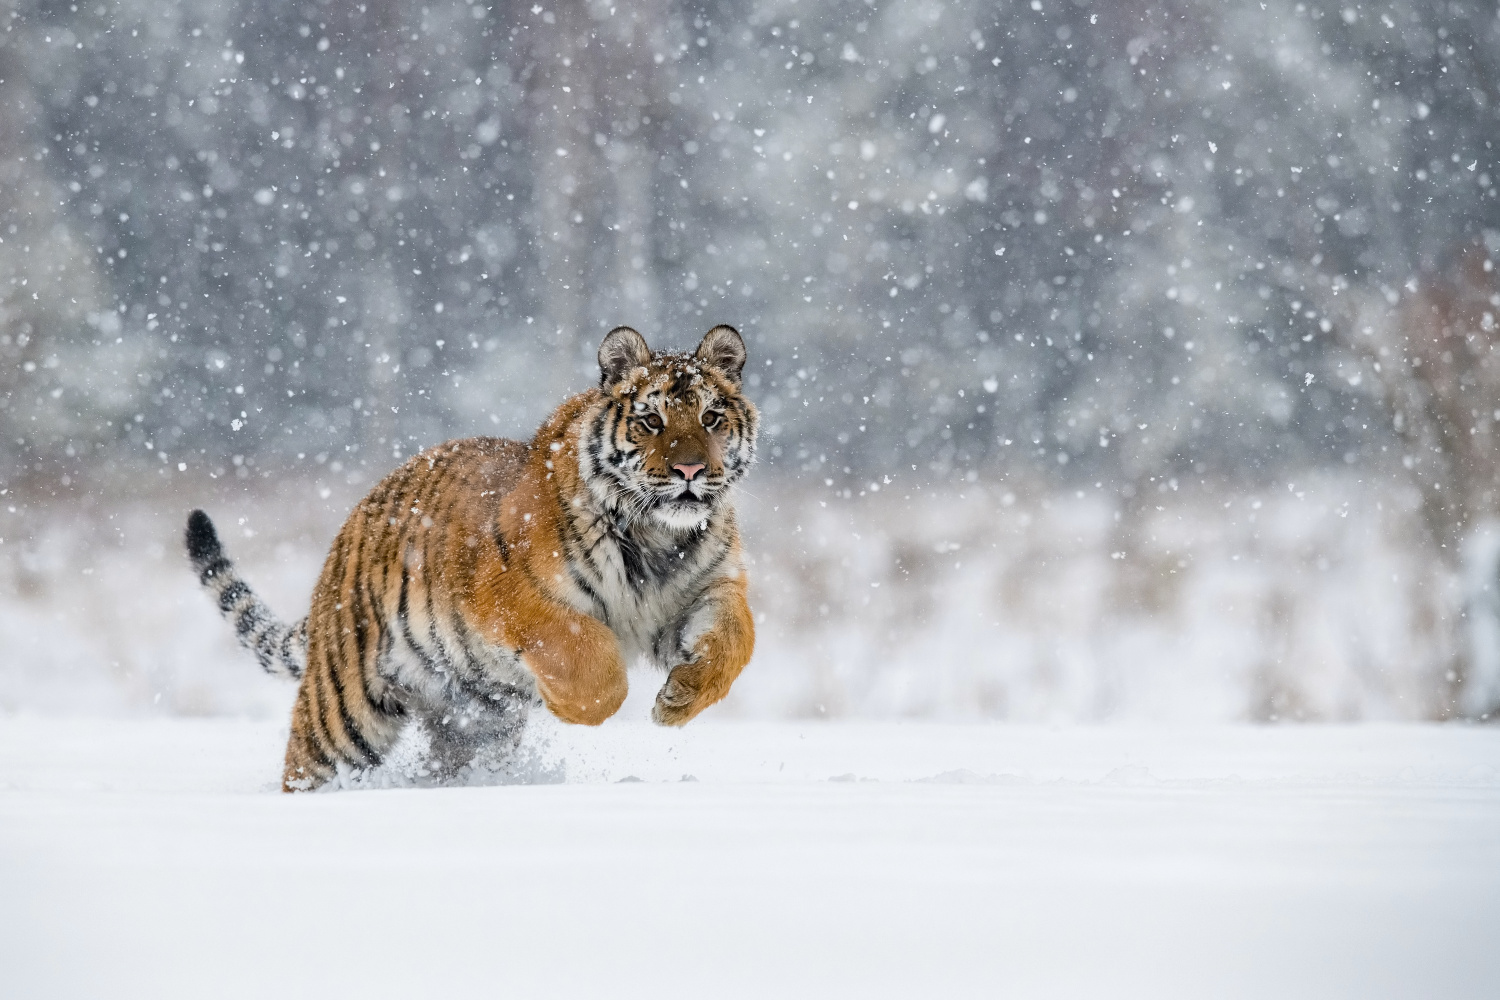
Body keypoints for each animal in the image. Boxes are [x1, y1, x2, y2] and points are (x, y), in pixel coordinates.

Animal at [187, 326, 756, 791]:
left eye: (710, 418)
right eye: (652, 421)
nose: (690, 470)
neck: (659, 537)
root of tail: (347, 530)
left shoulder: (710, 588)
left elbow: (734, 642)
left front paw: (677, 701)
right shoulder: (510, 595)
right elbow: (589, 657)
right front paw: (576, 705)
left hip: (473, 723)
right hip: (342, 716)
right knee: (306, 765)